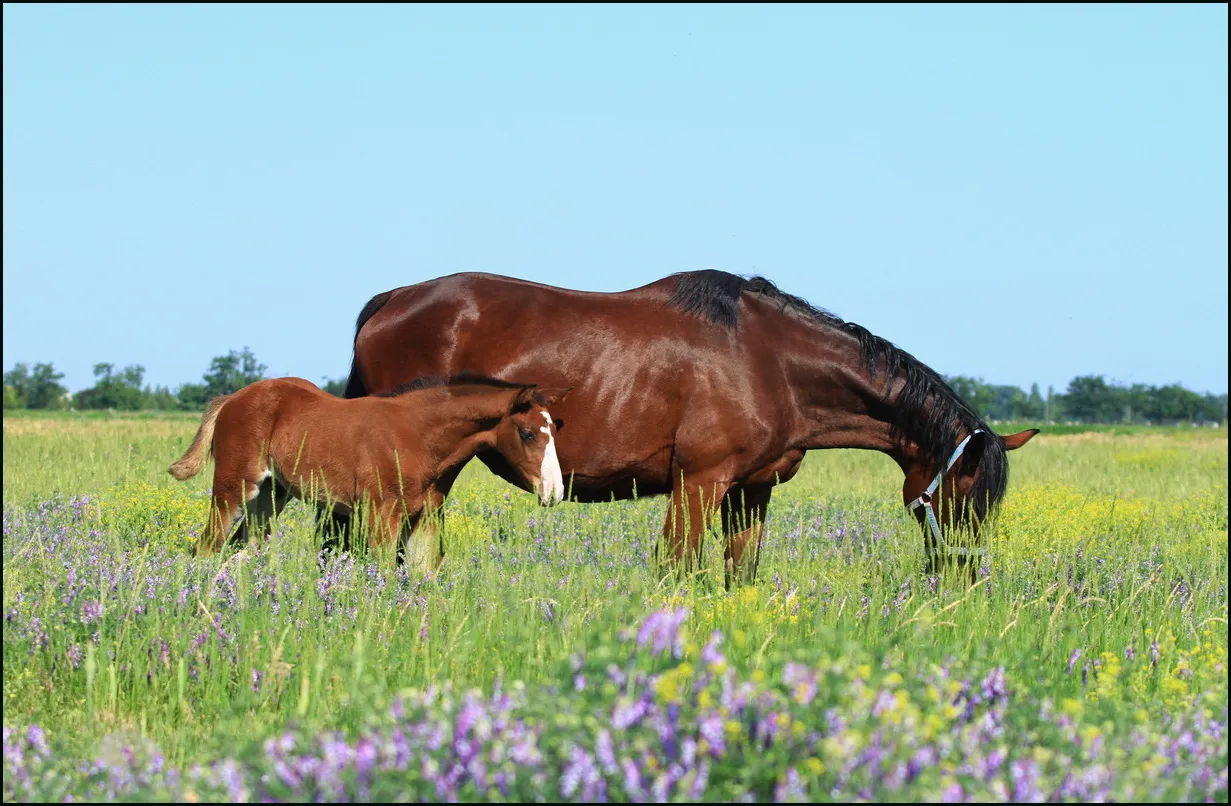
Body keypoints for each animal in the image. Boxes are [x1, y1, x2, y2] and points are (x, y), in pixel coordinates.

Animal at [169, 374, 571, 570]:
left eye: (556, 428)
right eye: (527, 433)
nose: (554, 491)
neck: (419, 437)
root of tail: (232, 399)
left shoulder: (423, 519)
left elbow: (422, 575)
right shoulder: (382, 517)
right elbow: (384, 576)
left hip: (271, 495)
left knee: (243, 549)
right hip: (234, 489)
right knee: (206, 548)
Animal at [339, 270, 1038, 585]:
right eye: (966, 495)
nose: (965, 577)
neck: (771, 360)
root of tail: (389, 302)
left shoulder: (751, 491)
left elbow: (739, 572)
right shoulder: (698, 482)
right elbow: (676, 569)